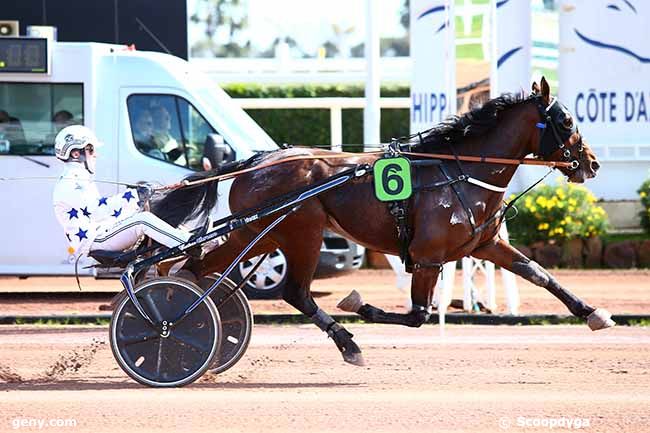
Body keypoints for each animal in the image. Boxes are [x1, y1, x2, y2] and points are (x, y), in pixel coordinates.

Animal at [152, 77, 612, 364]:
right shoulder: (427, 256)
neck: (458, 170)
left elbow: (539, 274)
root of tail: (257, 161)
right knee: (295, 292)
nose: (592, 163)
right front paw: (359, 304)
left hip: (259, 233)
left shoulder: (485, 245)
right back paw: (346, 343)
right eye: (567, 121)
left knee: (196, 268)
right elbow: (417, 315)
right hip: (301, 232)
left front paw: (593, 312)